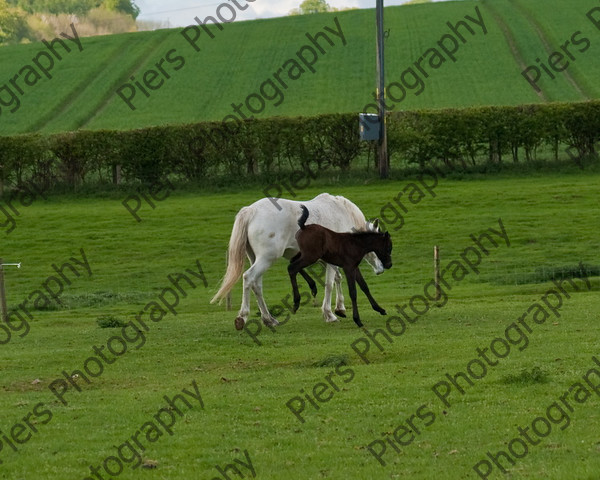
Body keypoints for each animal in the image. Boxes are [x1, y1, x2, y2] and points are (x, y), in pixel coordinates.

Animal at [211, 193, 382, 328]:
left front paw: (339, 308)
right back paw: (243, 317)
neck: (343, 213)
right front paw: (329, 314)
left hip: (256, 259)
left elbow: (337, 279)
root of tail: (251, 211)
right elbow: (329, 284)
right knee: (248, 278)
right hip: (266, 259)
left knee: (256, 285)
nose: (380, 269)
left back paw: (269, 319)